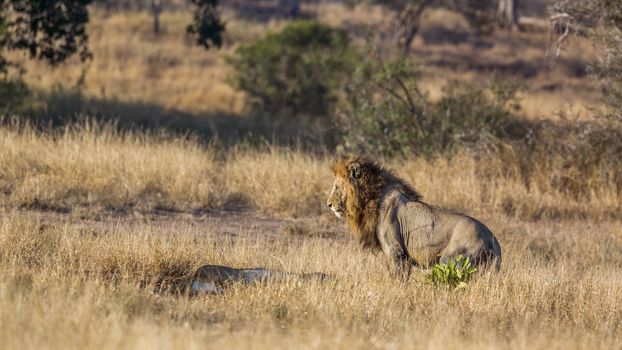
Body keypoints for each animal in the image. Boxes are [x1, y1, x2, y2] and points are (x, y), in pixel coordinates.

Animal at [330, 156, 504, 278]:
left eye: (337, 187)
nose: (328, 204)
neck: (371, 197)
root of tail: (492, 238)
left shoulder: (395, 250)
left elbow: (398, 276)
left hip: (452, 259)